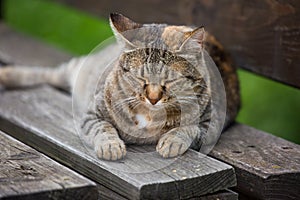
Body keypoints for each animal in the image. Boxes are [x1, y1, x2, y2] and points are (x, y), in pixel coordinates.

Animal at [0, 13, 239, 161]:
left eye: (169, 81)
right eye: (139, 78)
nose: (153, 98)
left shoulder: (213, 123)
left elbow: (189, 128)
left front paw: (172, 140)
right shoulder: (90, 114)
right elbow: (103, 128)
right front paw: (110, 146)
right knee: (52, 73)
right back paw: (7, 77)